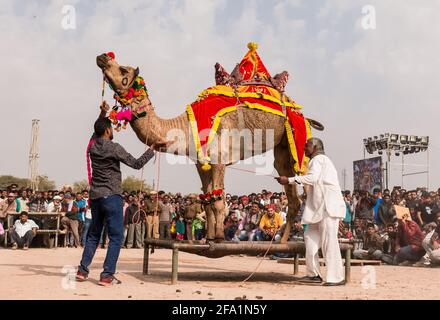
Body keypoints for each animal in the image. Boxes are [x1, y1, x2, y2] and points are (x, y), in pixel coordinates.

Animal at [96, 42, 324, 242]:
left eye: (123, 70)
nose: (103, 56)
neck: (186, 127)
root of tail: (304, 116)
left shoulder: (219, 159)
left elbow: (218, 201)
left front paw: (220, 237)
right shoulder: (201, 162)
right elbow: (207, 199)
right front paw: (210, 237)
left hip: (298, 137)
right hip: (284, 148)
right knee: (292, 193)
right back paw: (282, 242)